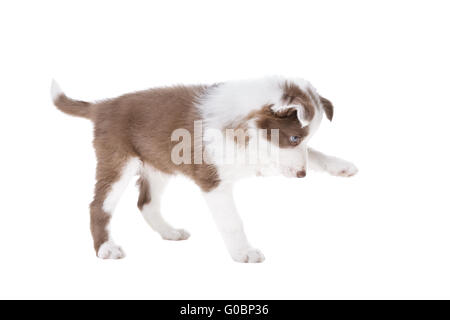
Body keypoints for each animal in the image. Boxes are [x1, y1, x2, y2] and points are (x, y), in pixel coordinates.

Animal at [51, 75, 356, 262]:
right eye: (293, 137)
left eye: (304, 139)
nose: (302, 176)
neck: (248, 129)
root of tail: (102, 105)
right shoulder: (214, 181)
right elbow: (232, 221)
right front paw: (243, 252)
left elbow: (312, 155)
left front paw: (341, 166)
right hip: (118, 162)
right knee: (99, 206)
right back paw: (106, 248)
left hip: (159, 164)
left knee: (146, 203)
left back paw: (169, 232)